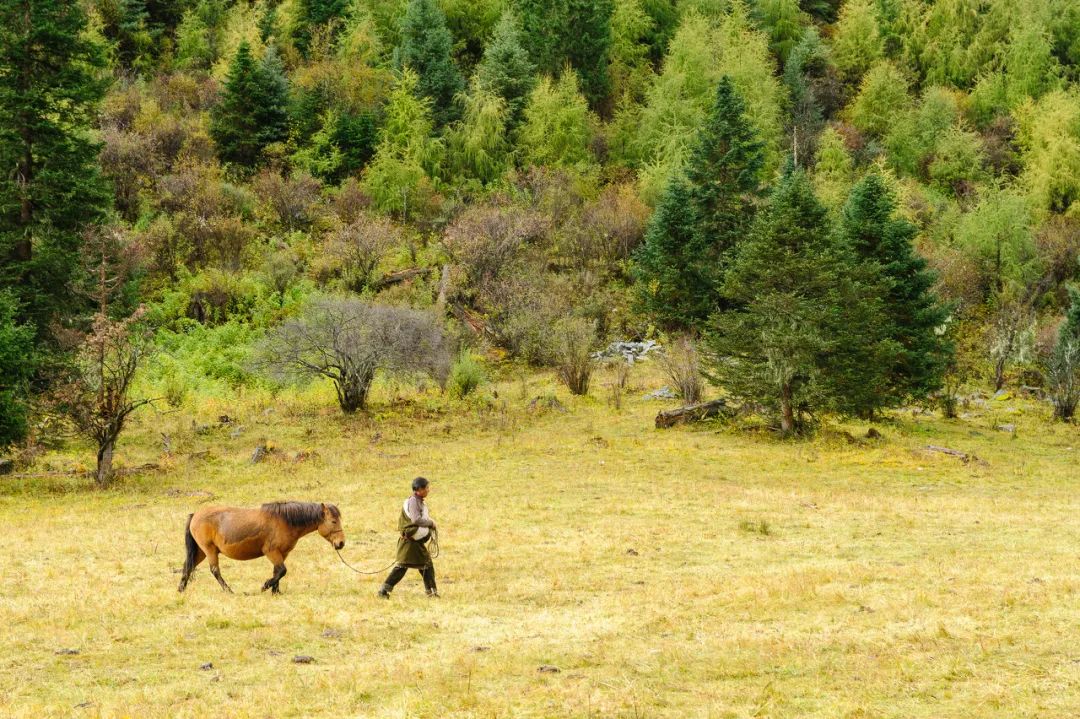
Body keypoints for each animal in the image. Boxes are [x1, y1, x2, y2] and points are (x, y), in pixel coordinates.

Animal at [177, 498, 343, 591]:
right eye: (333, 521)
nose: (341, 543)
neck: (284, 520)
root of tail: (195, 514)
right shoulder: (271, 552)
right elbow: (282, 571)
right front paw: (266, 586)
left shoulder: (282, 553)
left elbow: (277, 571)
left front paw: (276, 591)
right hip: (209, 550)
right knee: (215, 571)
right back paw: (228, 590)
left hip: (201, 552)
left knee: (188, 567)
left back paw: (181, 590)